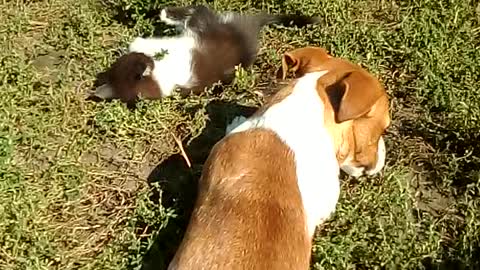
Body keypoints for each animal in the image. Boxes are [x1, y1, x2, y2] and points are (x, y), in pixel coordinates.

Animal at [93, 4, 320, 103]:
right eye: (135, 63)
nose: (145, 61)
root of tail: (250, 28)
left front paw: (136, 43)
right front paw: (140, 45)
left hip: (205, 27)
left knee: (197, 10)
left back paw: (166, 13)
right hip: (211, 27)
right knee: (199, 10)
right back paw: (167, 14)